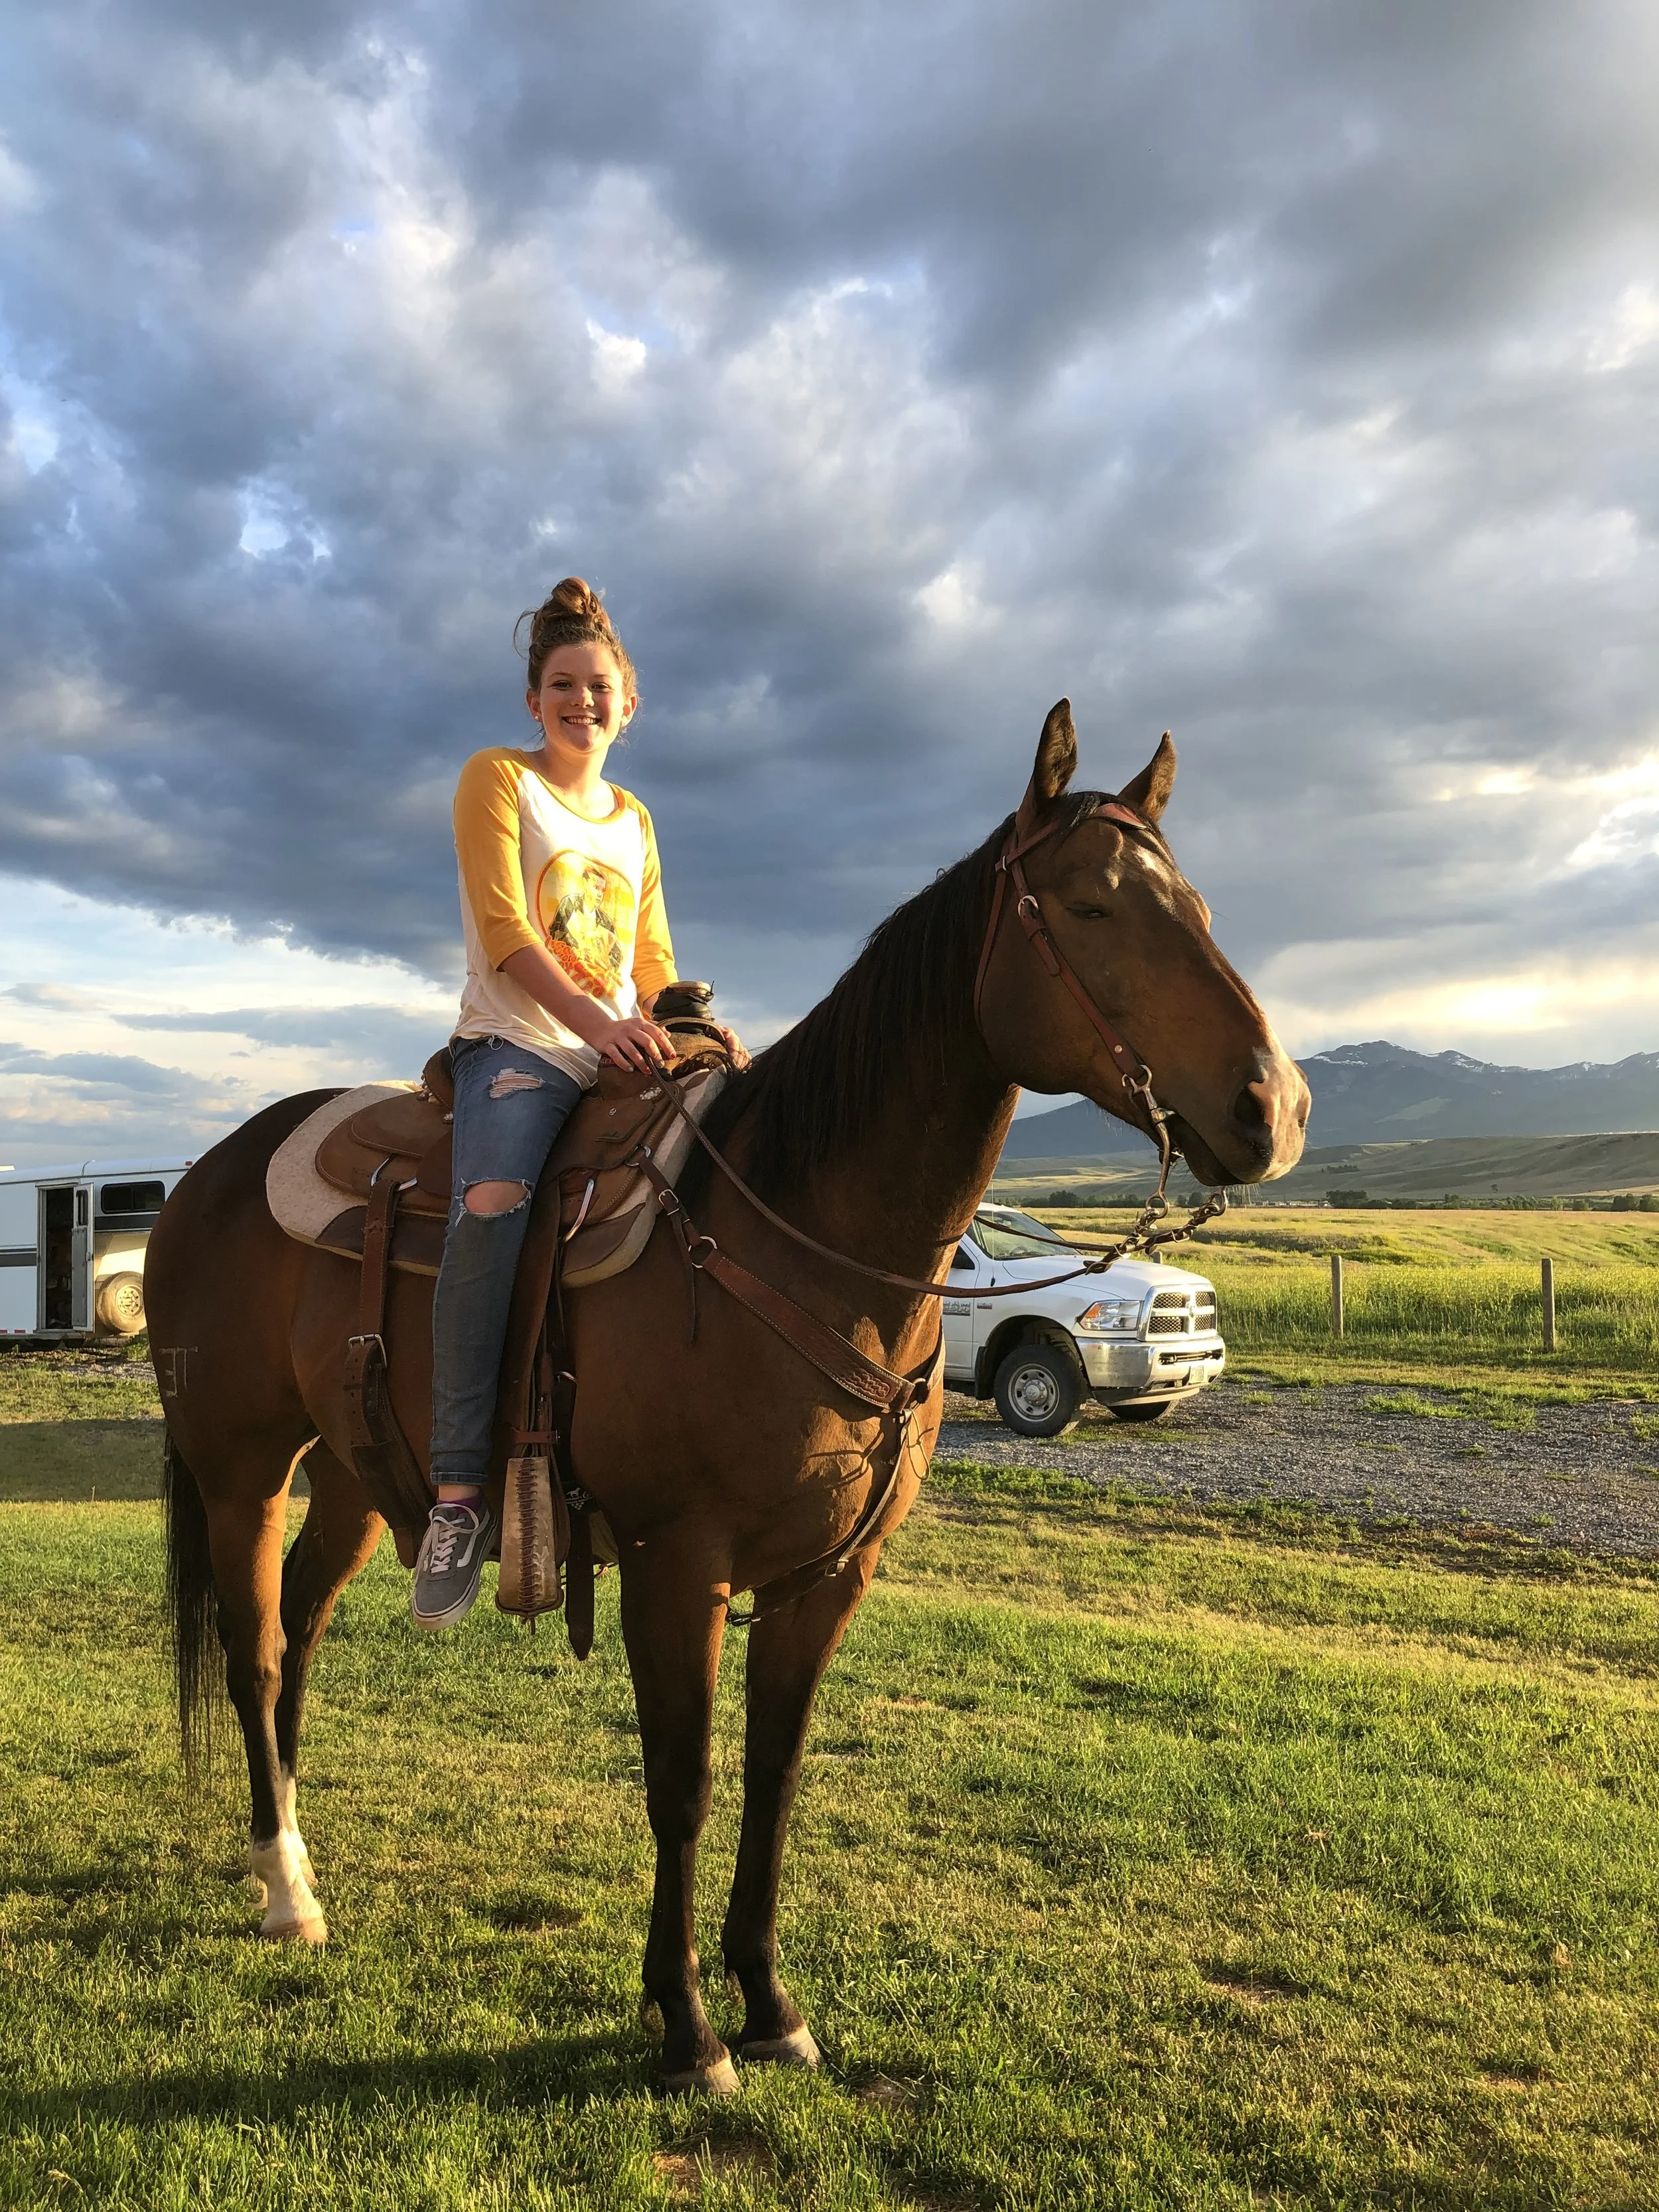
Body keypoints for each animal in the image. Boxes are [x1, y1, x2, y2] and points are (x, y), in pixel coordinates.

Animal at [144, 703, 1308, 2095]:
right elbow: (686, 1783)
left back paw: (298, 1859)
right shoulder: (674, 1561)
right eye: (1090, 905)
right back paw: (282, 1890)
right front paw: (690, 2027)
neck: (800, 1238)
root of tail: (207, 1169)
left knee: (302, 1635)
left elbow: (776, 1776)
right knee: (256, 1646)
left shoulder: (828, 1576)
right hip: (239, 1467)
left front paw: (770, 2002)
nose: (1275, 1106)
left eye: (1197, 904)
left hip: (360, 1478)